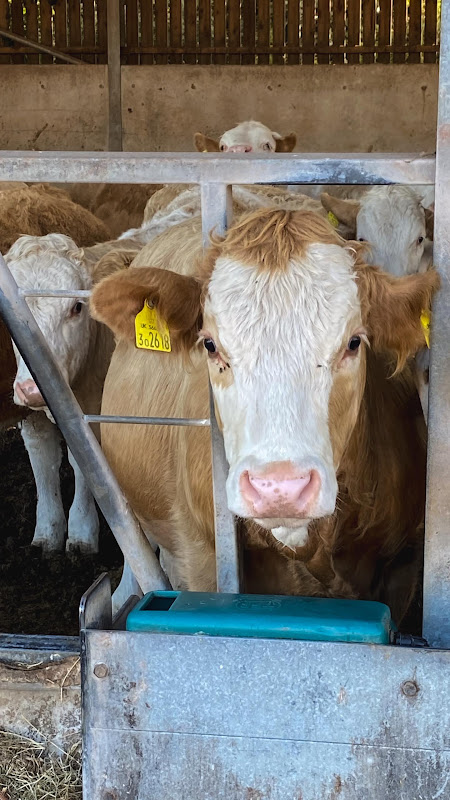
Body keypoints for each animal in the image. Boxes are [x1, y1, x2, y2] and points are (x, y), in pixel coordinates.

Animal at [6, 233, 138, 554]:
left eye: (77, 307)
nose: (30, 389)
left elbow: (85, 464)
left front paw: (81, 531)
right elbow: (42, 457)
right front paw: (48, 530)